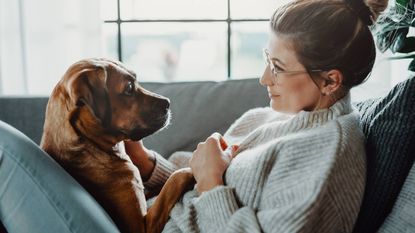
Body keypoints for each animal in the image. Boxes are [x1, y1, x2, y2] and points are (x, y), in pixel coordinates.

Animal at [41, 58, 197, 233]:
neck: (90, 146)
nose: (168, 103)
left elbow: (161, 187)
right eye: (129, 88)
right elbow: (174, 179)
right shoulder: (141, 227)